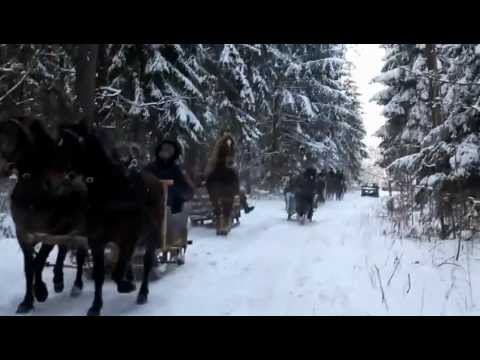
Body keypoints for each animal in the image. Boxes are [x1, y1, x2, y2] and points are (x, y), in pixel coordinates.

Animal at [0, 116, 87, 314]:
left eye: (10, 134)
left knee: (79, 256)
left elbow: (38, 262)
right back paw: (58, 281)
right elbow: (29, 267)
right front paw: (27, 302)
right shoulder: (24, 235)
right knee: (64, 250)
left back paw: (76, 286)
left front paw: (40, 292)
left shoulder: (50, 235)